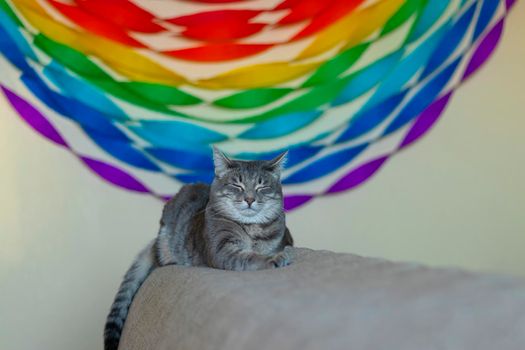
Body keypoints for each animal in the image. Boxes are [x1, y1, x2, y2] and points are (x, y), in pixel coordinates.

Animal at [102, 148, 290, 350]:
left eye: (261, 187)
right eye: (237, 185)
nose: (249, 199)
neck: (252, 229)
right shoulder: (223, 250)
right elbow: (252, 257)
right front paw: (276, 258)